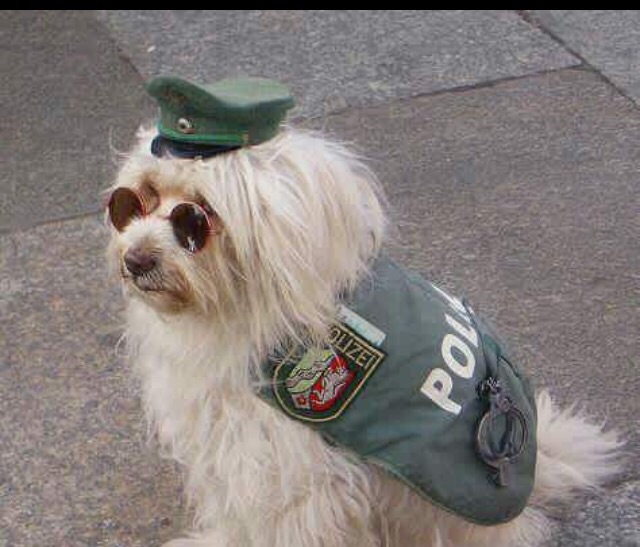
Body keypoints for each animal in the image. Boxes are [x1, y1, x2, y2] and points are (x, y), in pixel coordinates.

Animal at [106, 119, 621, 546]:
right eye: (140, 196)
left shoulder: (288, 469)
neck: (240, 305)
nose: (135, 259)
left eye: (198, 214)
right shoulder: (227, 447)